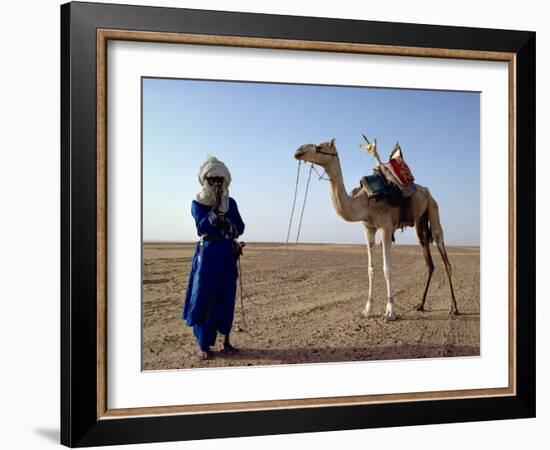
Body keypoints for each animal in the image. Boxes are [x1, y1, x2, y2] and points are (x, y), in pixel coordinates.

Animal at [296, 138, 460, 320]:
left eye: (318, 147)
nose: (298, 151)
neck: (365, 201)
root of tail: (427, 191)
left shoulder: (385, 227)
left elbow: (387, 269)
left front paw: (390, 312)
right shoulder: (368, 228)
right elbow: (370, 269)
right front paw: (367, 310)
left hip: (433, 207)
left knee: (443, 253)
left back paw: (454, 308)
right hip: (420, 220)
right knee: (428, 258)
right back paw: (421, 305)